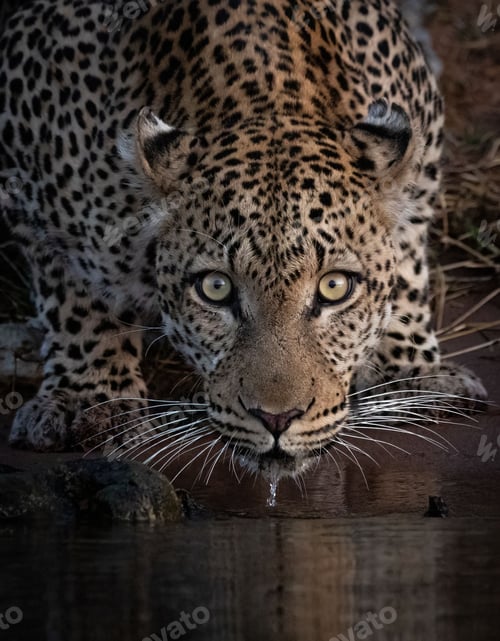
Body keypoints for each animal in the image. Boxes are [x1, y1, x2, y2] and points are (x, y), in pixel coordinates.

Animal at [0, 0, 487, 480]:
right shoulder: (28, 174)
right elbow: (75, 291)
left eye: (334, 287)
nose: (277, 418)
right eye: (215, 288)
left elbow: (408, 260)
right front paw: (90, 398)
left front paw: (414, 369)